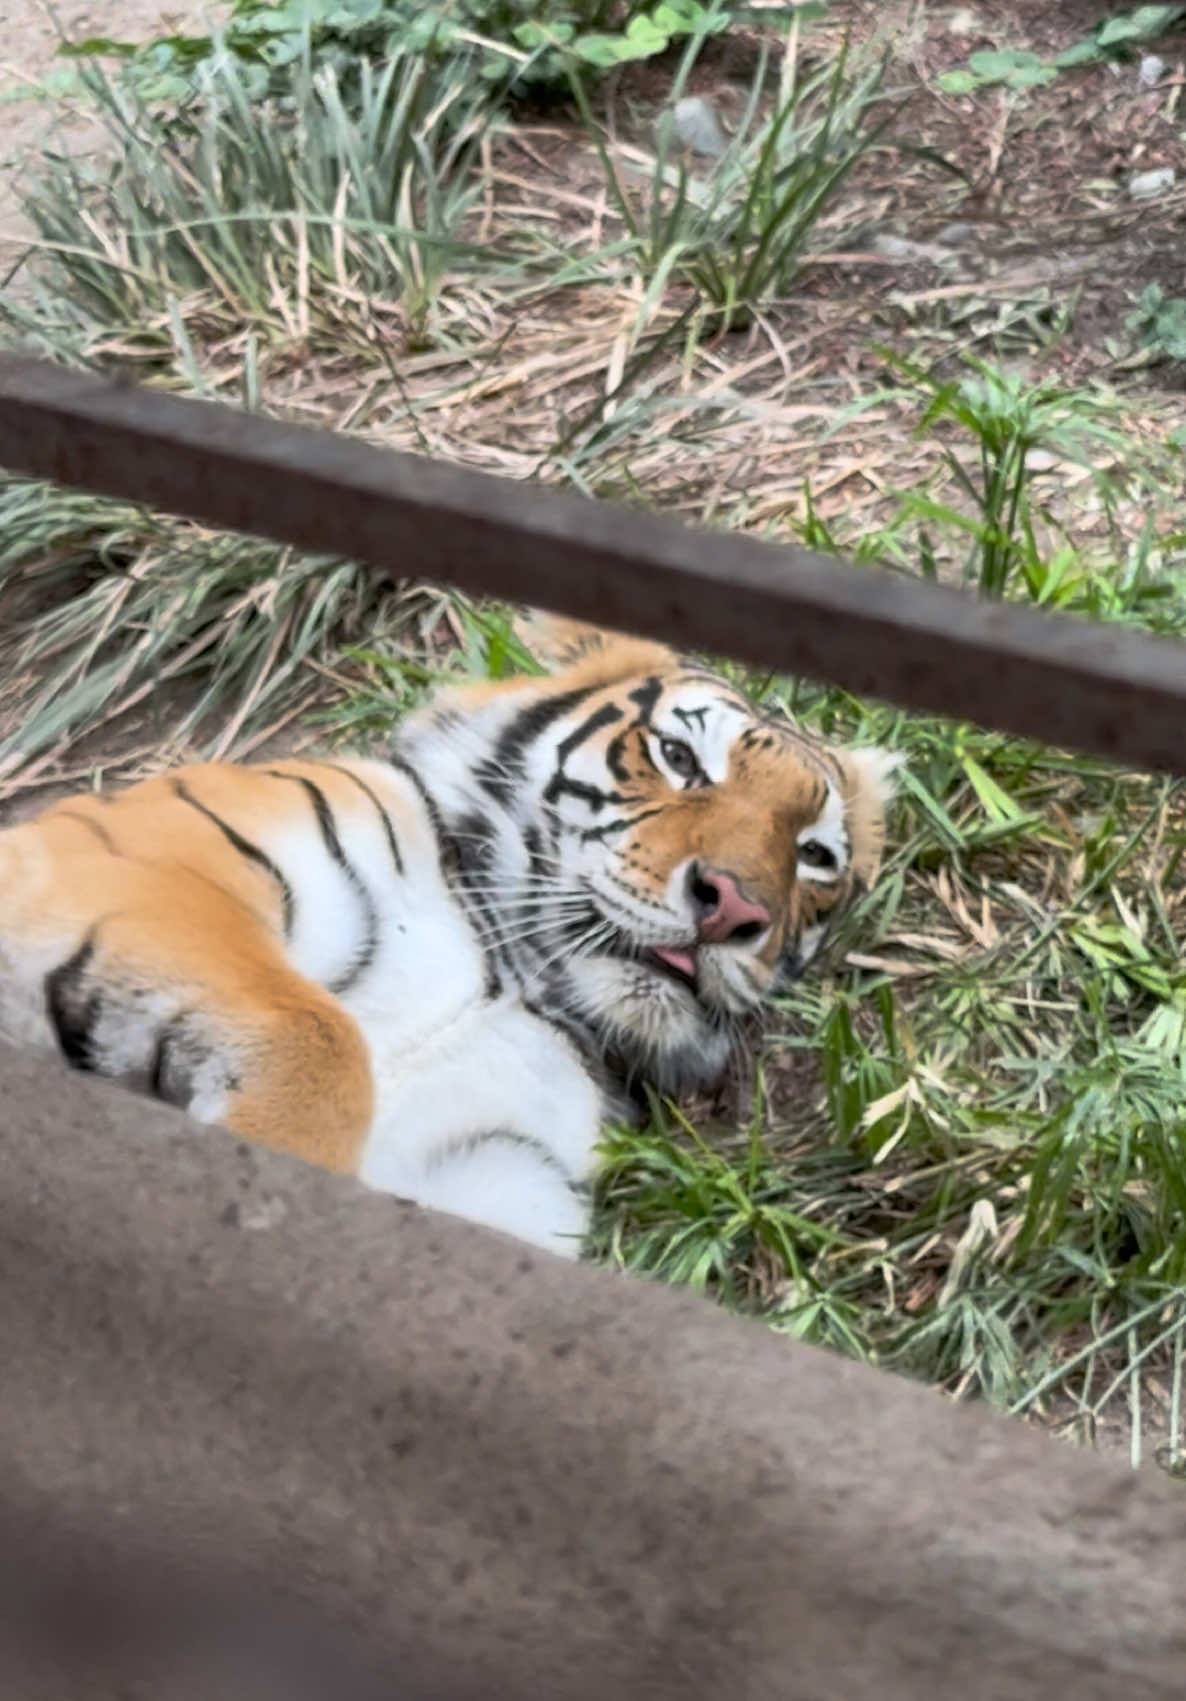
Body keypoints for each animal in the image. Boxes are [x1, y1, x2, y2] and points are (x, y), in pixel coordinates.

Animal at [0, 619, 891, 1258]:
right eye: (677, 755)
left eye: (814, 855)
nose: (734, 906)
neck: (514, 984)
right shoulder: (149, 862)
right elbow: (319, 1038)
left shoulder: (498, 1184)